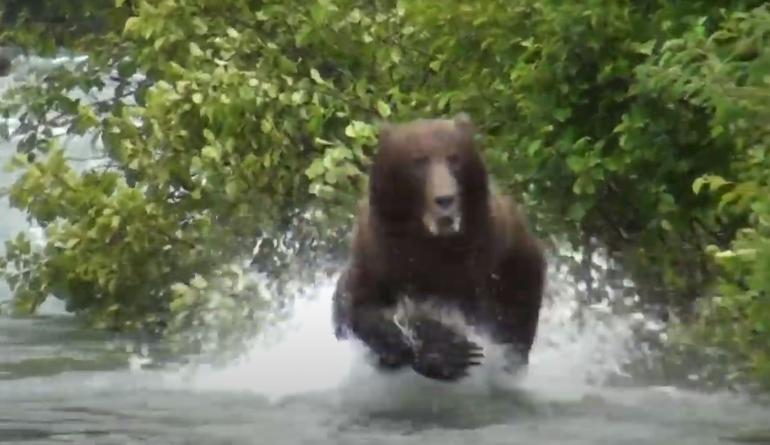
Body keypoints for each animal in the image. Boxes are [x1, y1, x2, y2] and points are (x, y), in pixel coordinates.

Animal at [332, 113, 546, 382]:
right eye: (419, 161)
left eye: (454, 157)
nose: (445, 199)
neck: (432, 241)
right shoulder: (377, 253)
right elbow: (361, 307)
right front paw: (446, 350)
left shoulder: (497, 248)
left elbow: (516, 299)